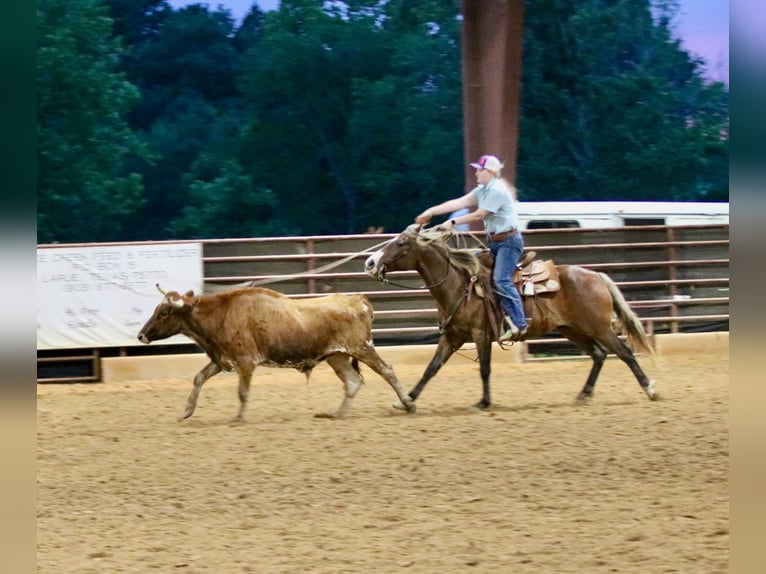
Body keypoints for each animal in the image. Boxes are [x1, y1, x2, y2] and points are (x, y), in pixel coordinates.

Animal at [364, 224, 658, 409]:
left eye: (401, 243)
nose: (370, 262)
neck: (459, 285)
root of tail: (595, 275)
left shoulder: (481, 334)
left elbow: (484, 368)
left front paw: (484, 402)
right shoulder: (453, 337)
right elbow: (431, 368)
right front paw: (407, 400)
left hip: (598, 327)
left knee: (624, 352)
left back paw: (650, 389)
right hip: (572, 329)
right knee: (599, 354)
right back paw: (583, 395)